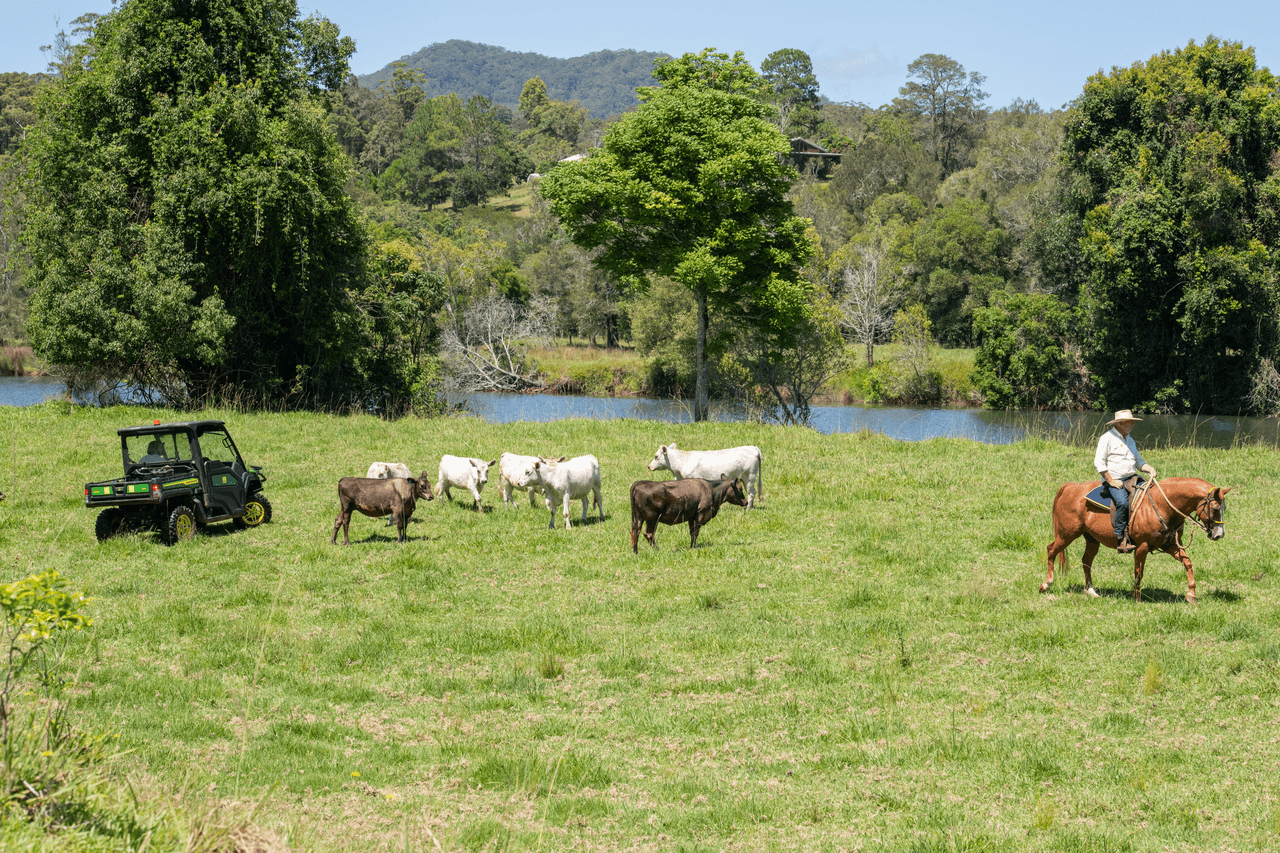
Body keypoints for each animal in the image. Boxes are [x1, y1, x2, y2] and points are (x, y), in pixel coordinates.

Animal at [1039, 473, 1228, 601]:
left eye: (1224, 508)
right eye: (1215, 508)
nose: (1219, 534)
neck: (1161, 504)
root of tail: (1071, 487)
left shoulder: (1170, 545)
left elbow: (1187, 562)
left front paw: (1192, 593)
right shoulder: (1142, 546)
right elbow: (1139, 572)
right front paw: (1136, 598)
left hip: (1091, 539)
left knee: (1086, 560)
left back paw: (1091, 590)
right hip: (1067, 534)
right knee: (1051, 550)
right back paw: (1046, 584)